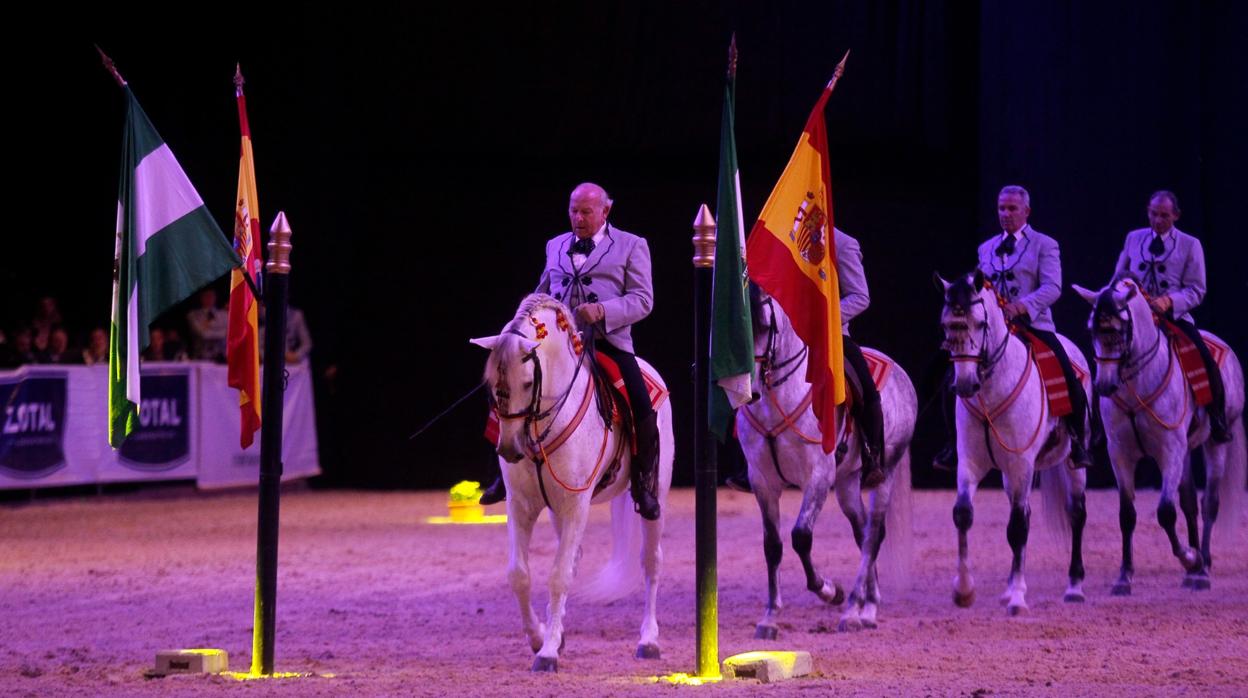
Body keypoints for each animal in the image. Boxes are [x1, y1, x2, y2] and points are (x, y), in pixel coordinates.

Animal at [471, 293, 673, 674]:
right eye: (491, 384)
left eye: (527, 382)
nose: (510, 449)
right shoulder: (521, 504)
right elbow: (519, 575)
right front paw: (541, 638)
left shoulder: (576, 505)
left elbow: (559, 575)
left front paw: (547, 653)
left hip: (656, 496)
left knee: (651, 562)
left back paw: (649, 641)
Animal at [738, 289, 918, 639]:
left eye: (766, 326)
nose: (749, 391)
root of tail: (902, 375)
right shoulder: (762, 481)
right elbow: (772, 546)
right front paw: (770, 618)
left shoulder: (819, 476)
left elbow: (801, 537)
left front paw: (829, 590)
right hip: (847, 484)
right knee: (863, 533)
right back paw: (866, 607)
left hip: (885, 474)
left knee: (873, 535)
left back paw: (853, 609)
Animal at [938, 270, 1088, 614]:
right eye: (945, 324)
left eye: (981, 323)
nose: (964, 384)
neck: (991, 392)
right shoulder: (971, 462)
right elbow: (963, 514)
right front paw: (964, 591)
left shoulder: (1021, 463)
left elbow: (1018, 527)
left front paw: (1019, 597)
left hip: (1070, 464)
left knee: (1075, 513)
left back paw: (1074, 587)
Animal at [1073, 275, 1248, 591]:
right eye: (1091, 329)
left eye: (1118, 330)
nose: (1104, 385)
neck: (1137, 386)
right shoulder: (1121, 454)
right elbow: (1127, 515)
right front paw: (1124, 577)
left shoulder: (1169, 451)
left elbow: (1166, 512)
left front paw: (1189, 558)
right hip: (1186, 451)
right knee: (1190, 503)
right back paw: (1194, 569)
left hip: (1215, 443)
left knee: (1209, 503)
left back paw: (1202, 568)